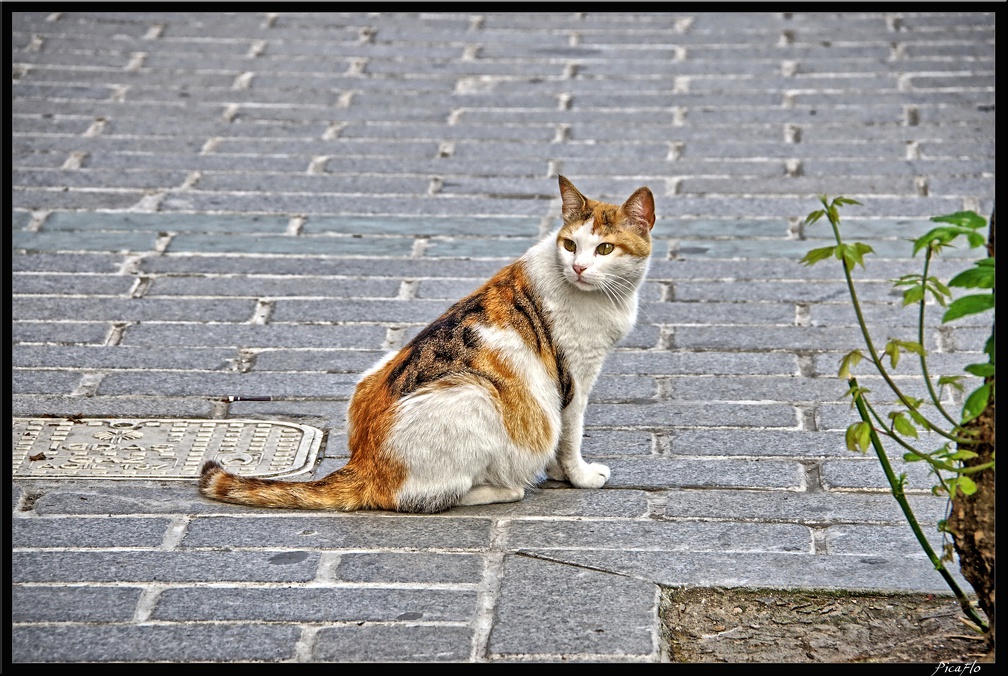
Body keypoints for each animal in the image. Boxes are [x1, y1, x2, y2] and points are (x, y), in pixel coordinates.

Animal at [200, 178, 657, 513]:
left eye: (604, 248)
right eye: (570, 244)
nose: (578, 267)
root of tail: (361, 463)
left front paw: (563, 473)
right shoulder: (575, 378)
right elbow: (569, 435)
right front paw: (579, 476)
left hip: (374, 372)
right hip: (474, 393)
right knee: (417, 497)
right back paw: (505, 486)